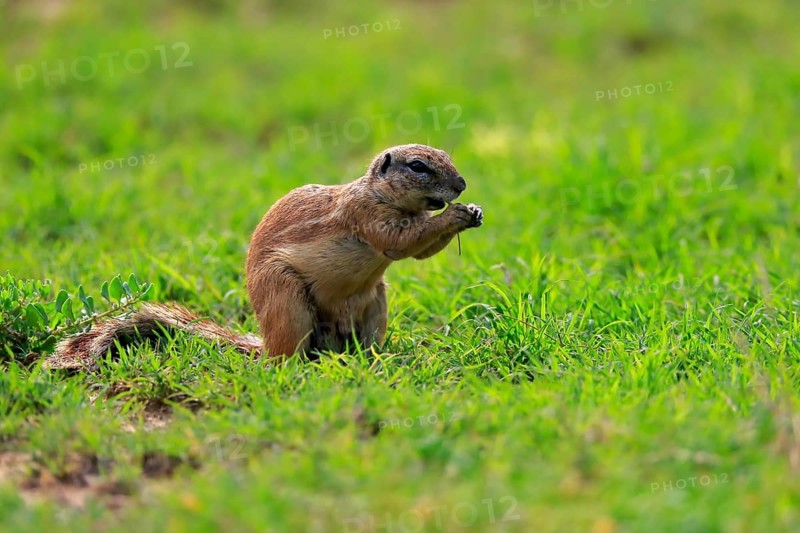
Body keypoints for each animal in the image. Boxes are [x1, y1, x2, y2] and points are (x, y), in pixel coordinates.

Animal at [45, 144, 483, 370]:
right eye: (418, 166)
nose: (462, 185)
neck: (382, 195)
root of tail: (265, 345)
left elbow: (420, 251)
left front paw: (473, 213)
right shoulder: (365, 214)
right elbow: (400, 242)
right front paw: (456, 215)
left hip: (376, 300)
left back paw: (374, 359)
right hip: (285, 297)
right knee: (285, 358)